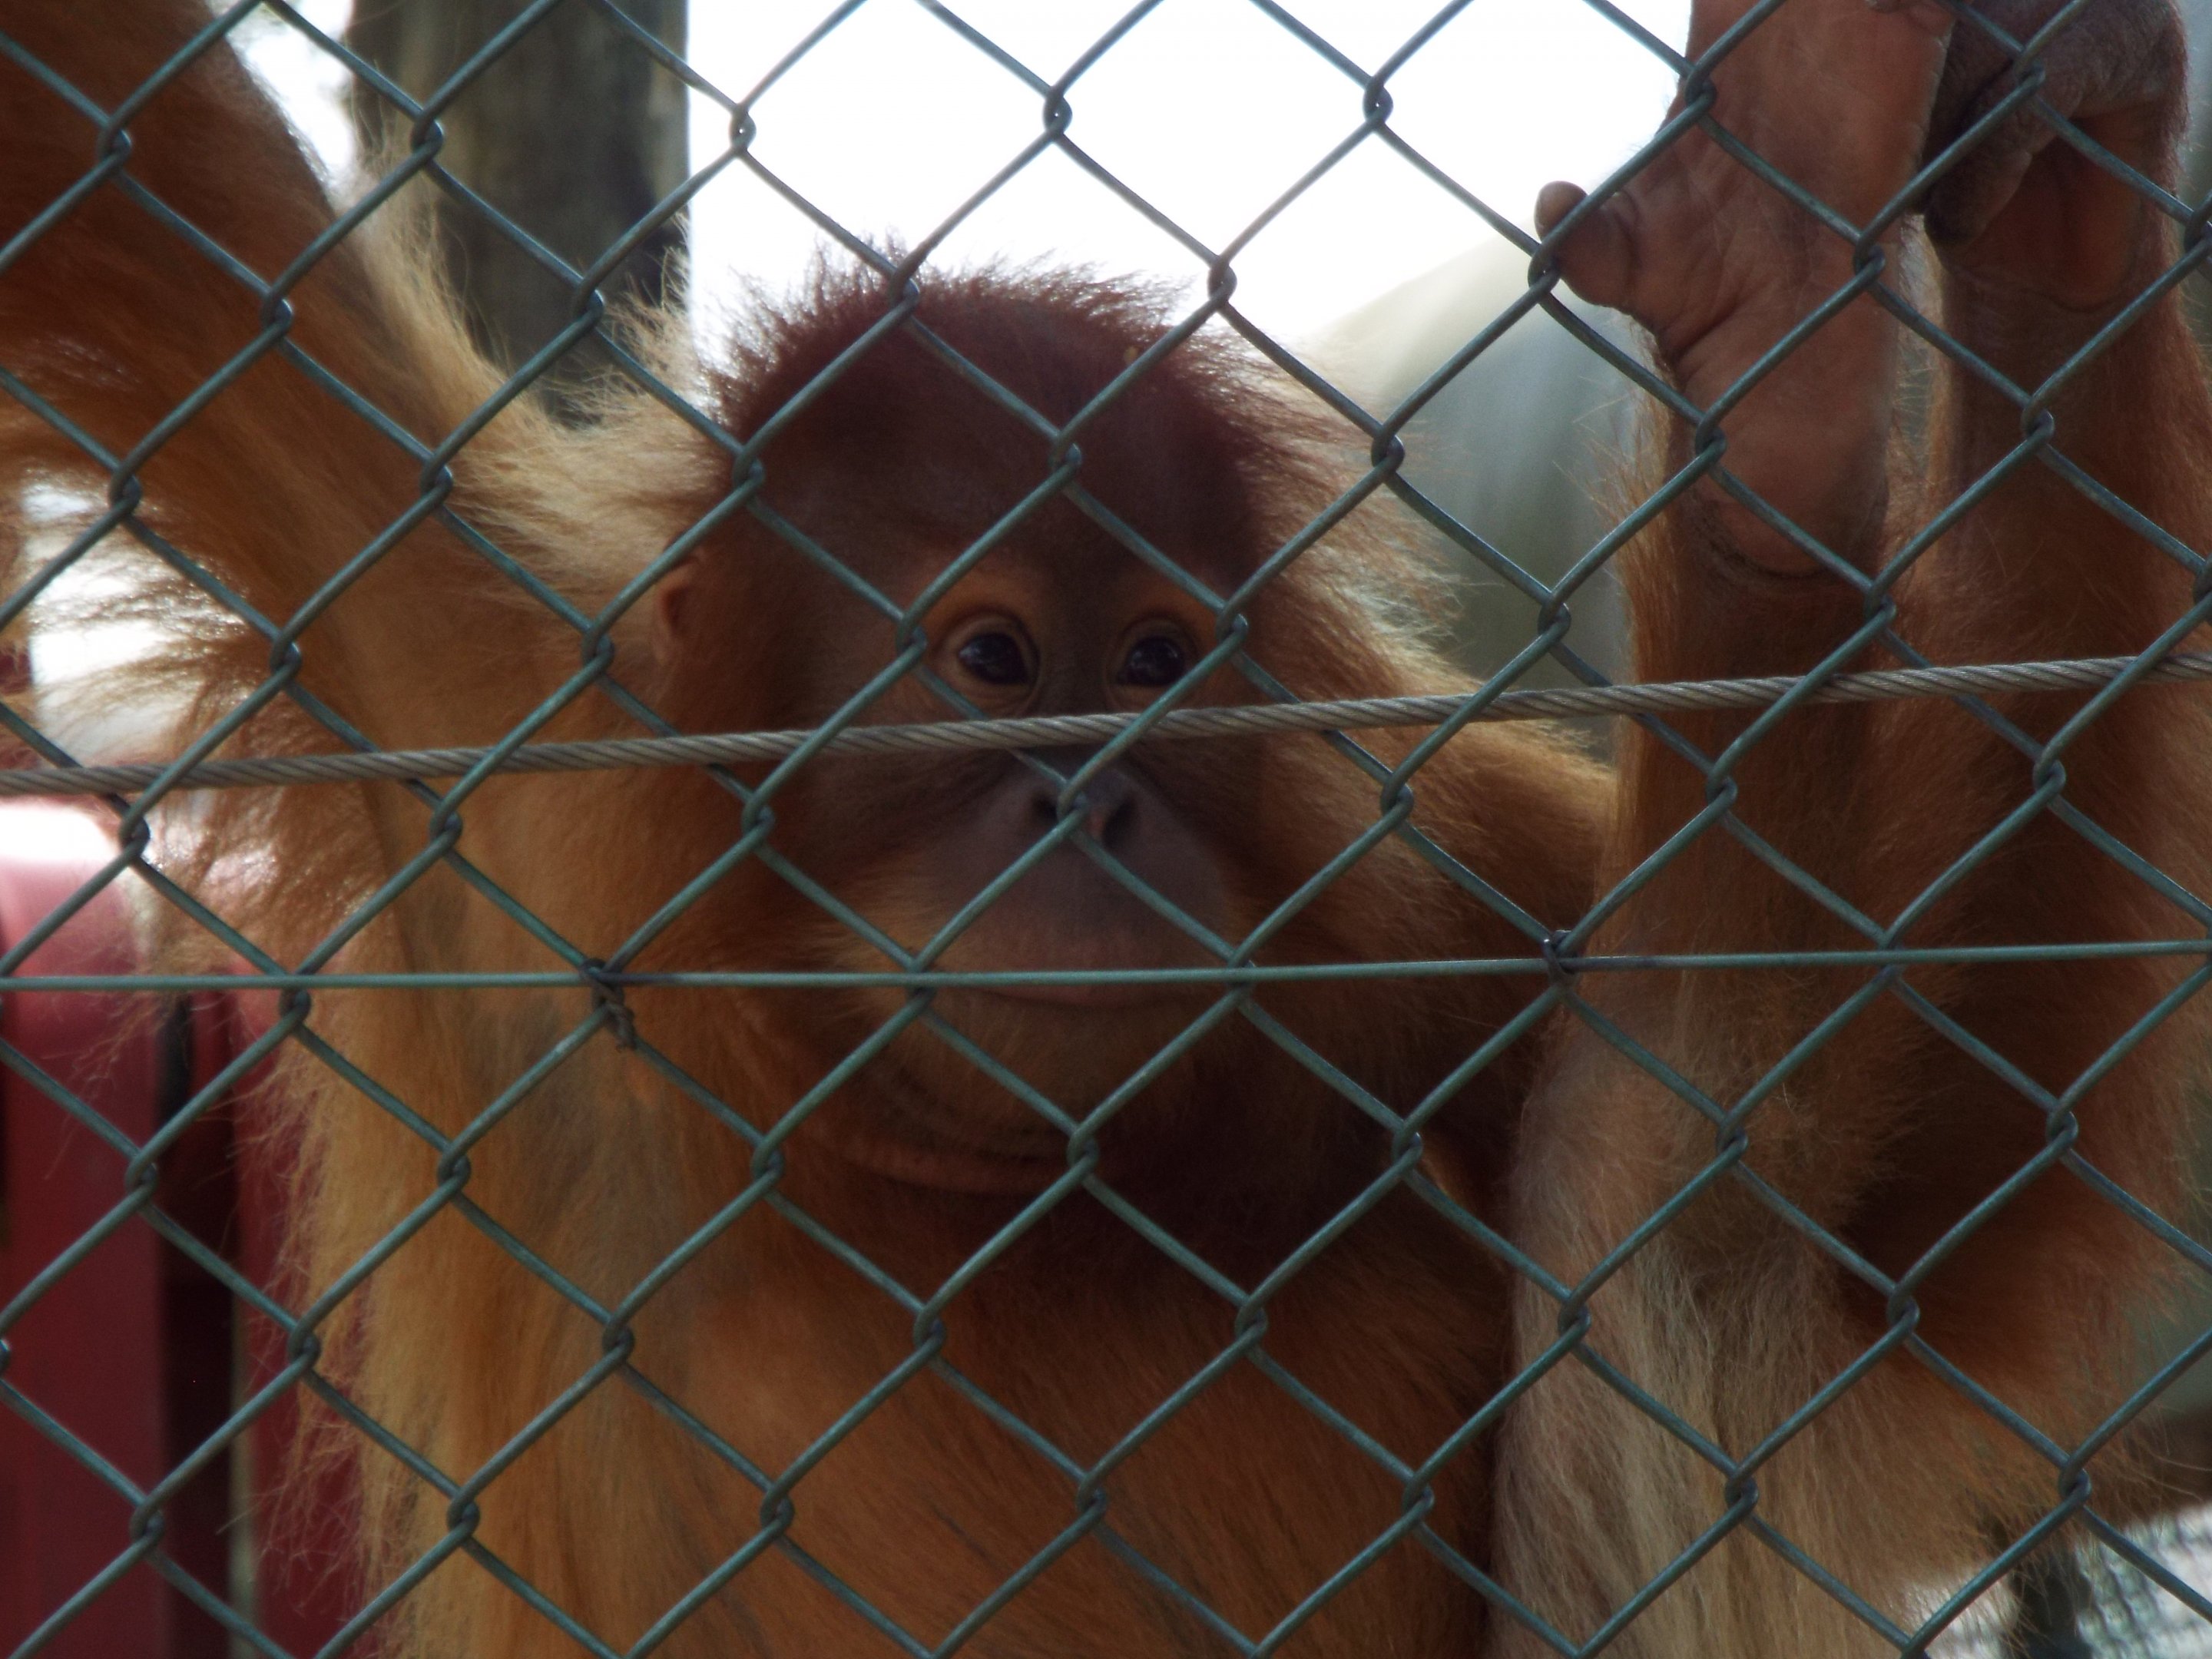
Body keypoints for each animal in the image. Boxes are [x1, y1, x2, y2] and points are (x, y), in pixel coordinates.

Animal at [0, 0, 2207, 1655]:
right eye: (993, 662)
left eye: (1150, 656)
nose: (1094, 799)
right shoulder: (471, 705)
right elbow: (122, 161)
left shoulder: (1430, 868)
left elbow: (1943, 1280)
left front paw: (2074, 211)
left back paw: (1777, 423)